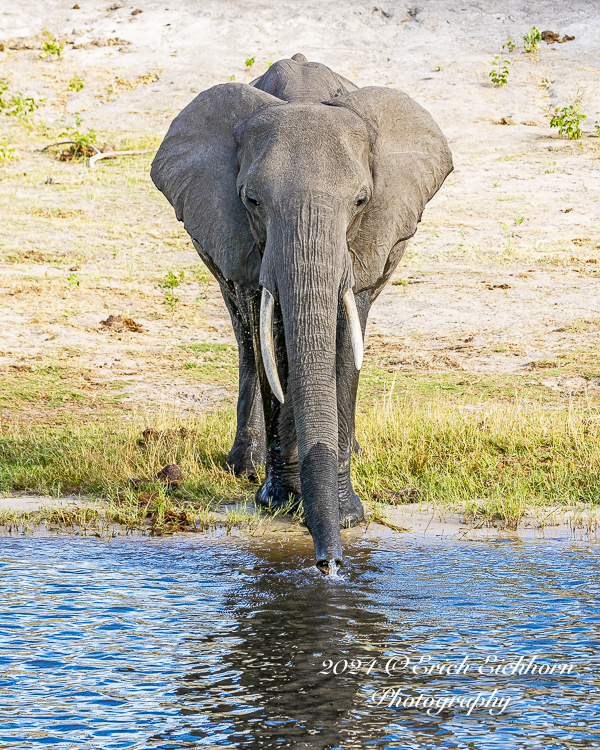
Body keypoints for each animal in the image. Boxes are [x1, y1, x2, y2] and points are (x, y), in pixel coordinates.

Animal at [152, 53, 452, 572]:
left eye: (361, 200)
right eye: (252, 200)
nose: (328, 564)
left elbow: (345, 338)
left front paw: (346, 515)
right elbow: (271, 338)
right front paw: (280, 505)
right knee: (246, 338)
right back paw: (243, 467)